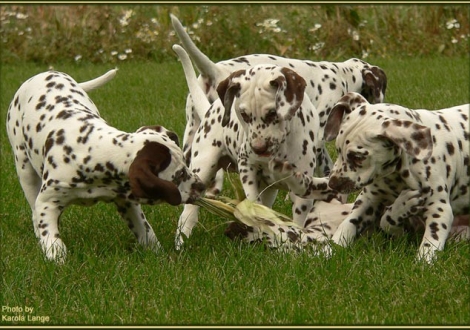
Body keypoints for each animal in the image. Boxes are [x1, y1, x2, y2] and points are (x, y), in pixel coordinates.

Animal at [5, 69, 204, 262]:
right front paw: (56, 257)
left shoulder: (127, 202)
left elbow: (147, 233)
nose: (201, 186)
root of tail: (44, 73)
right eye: (178, 176)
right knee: (33, 209)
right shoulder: (47, 202)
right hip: (25, 170)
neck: (93, 151)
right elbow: (52, 239)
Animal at [274, 93, 468, 262]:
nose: (334, 184)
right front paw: (329, 251)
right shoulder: (367, 202)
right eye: (338, 150)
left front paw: (423, 262)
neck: (398, 175)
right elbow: (350, 226)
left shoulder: (439, 210)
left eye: (357, 157)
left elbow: (429, 243)